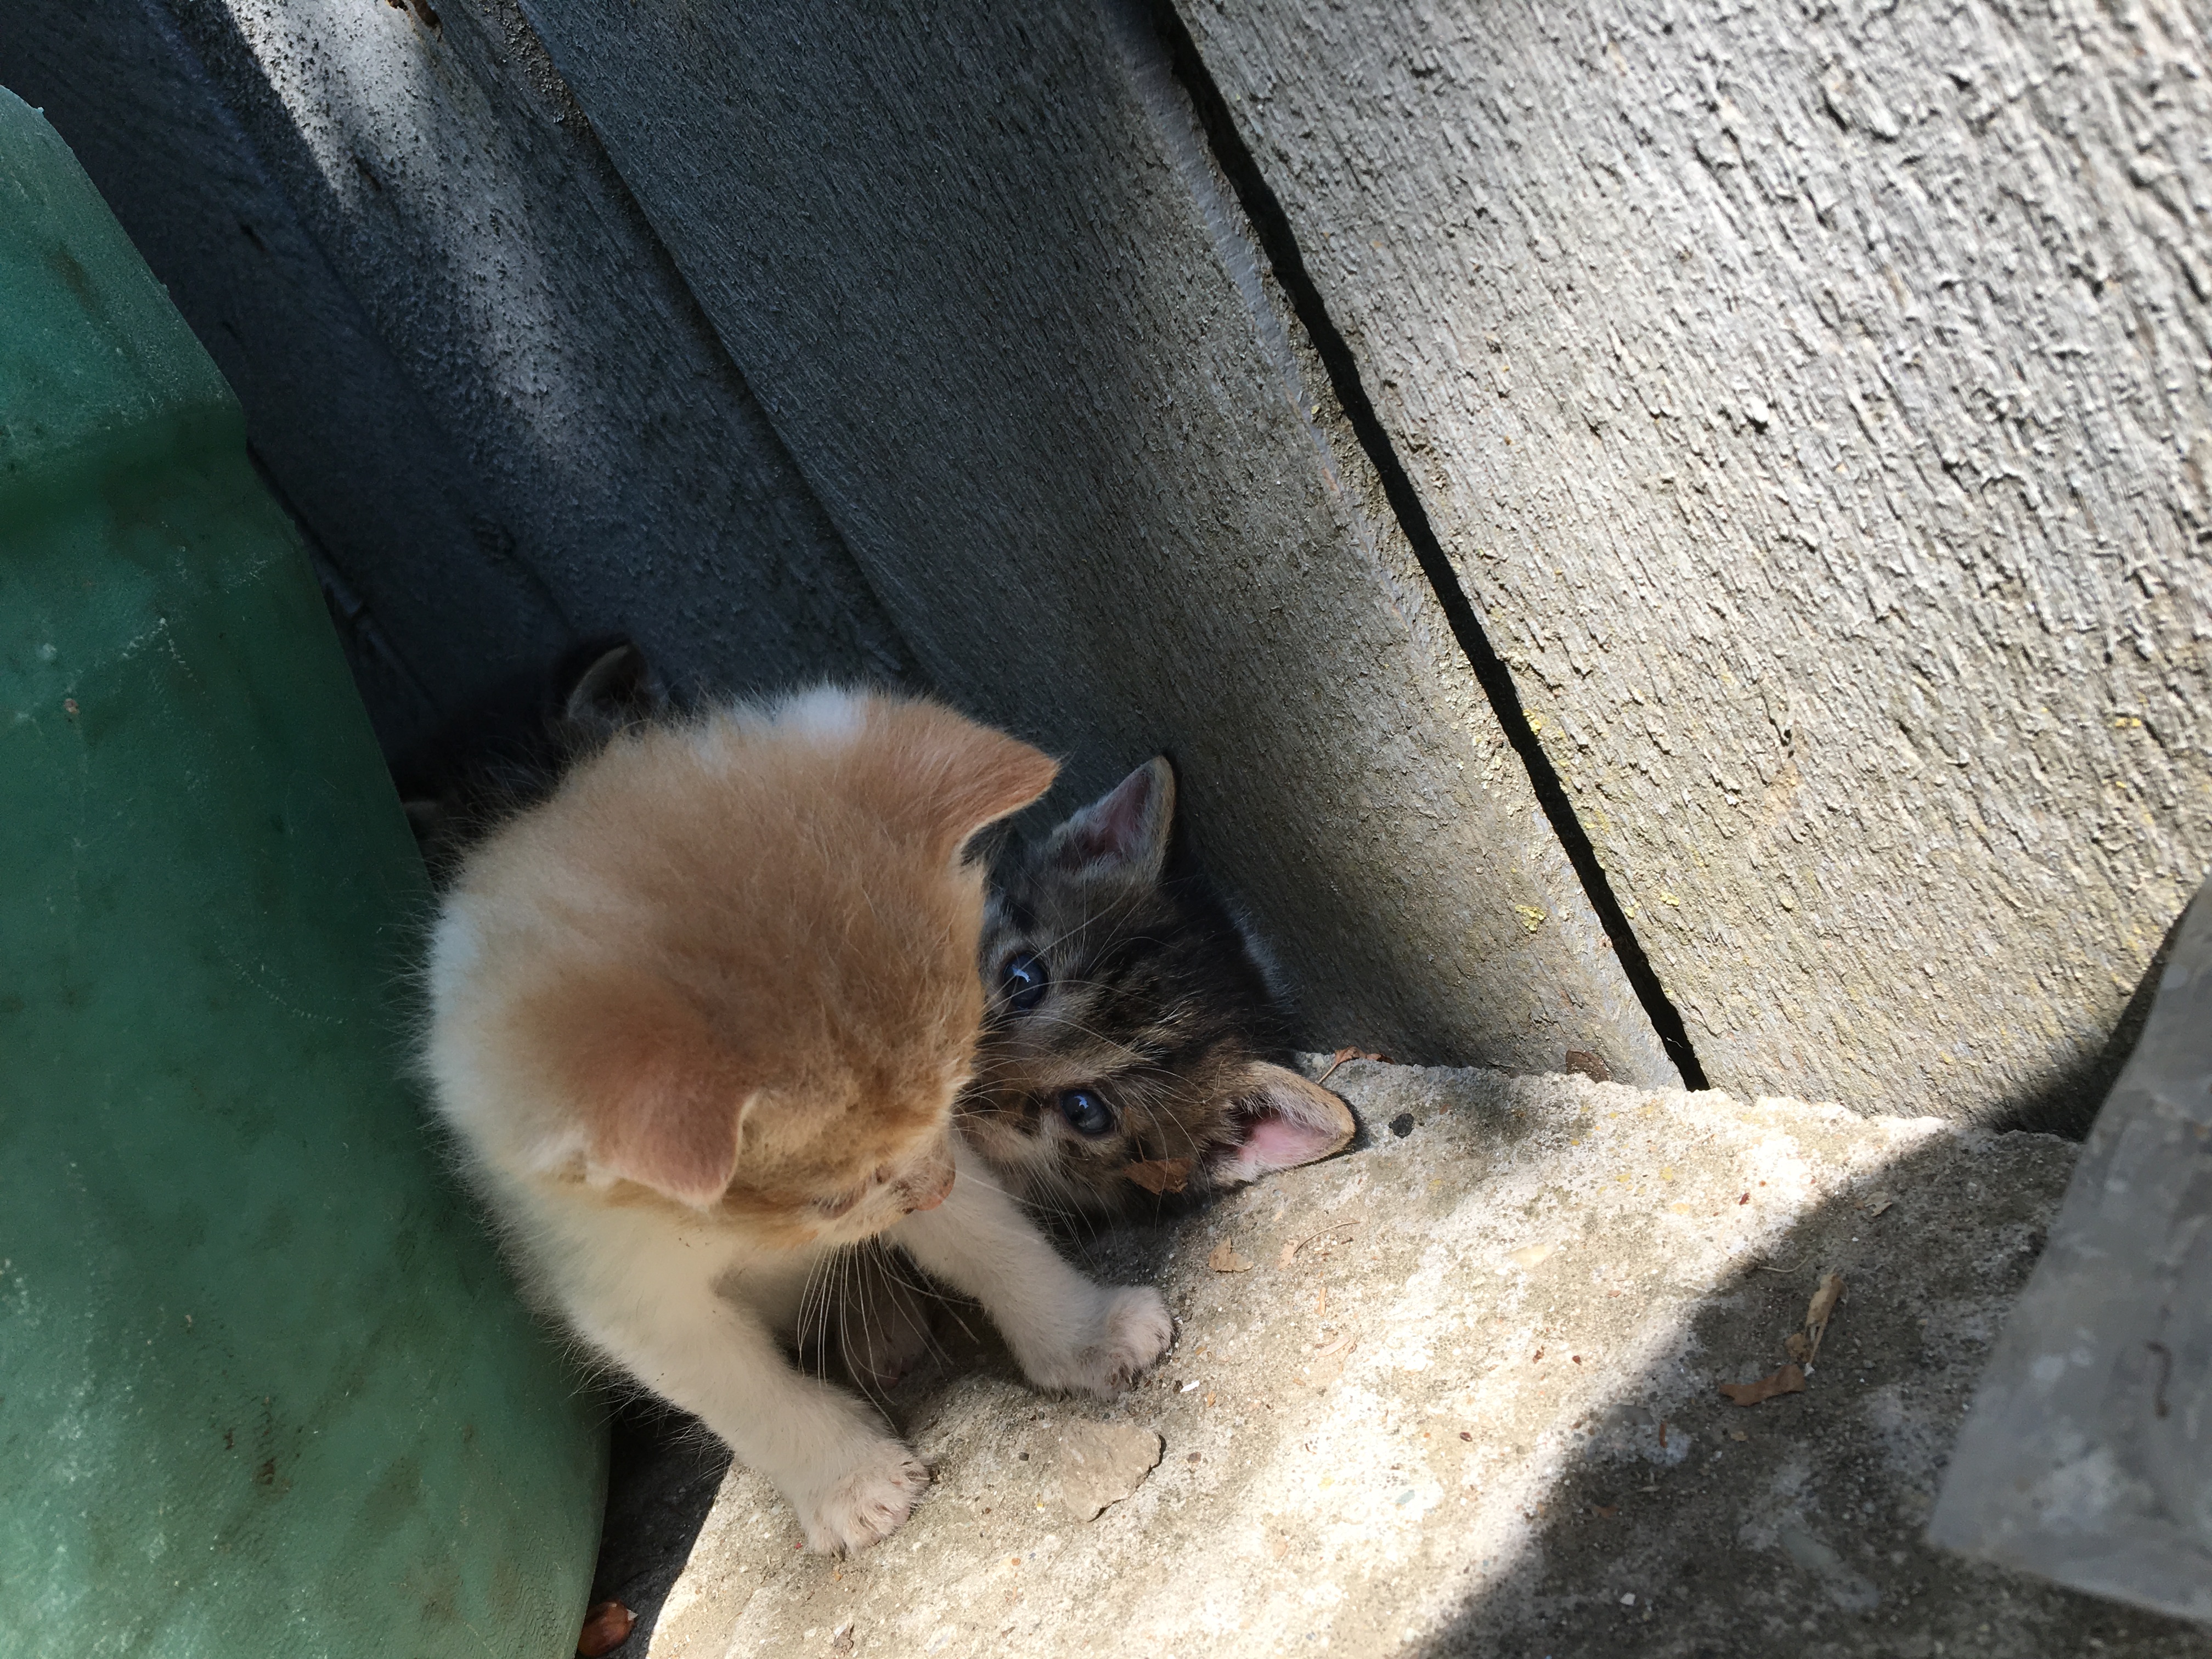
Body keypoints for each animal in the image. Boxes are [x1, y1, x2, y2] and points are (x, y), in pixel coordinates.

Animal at [421, 687, 1175, 1554]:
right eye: (831, 1197)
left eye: (961, 1084)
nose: (937, 1190)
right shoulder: (624, 1292)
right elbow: (746, 1394)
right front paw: (850, 1482)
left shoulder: (934, 1149)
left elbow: (997, 1243)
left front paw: (1085, 1330)